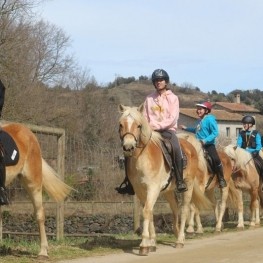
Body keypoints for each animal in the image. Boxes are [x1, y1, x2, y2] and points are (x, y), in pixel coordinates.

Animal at [118, 105, 212, 256]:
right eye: (121, 124)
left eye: (138, 125)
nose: (128, 146)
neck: (142, 158)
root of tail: (191, 146)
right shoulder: (140, 191)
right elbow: (149, 212)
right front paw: (152, 243)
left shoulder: (153, 188)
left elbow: (146, 211)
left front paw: (144, 245)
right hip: (168, 191)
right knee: (175, 210)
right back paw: (177, 233)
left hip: (188, 186)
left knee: (184, 210)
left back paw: (180, 240)